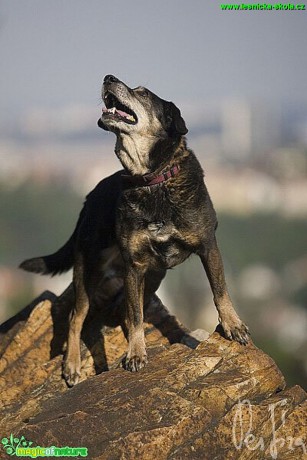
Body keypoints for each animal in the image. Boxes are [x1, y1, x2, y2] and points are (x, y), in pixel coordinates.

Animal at [19, 74, 250, 384]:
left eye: (143, 93)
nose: (108, 77)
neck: (152, 180)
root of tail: (89, 197)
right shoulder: (134, 266)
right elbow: (137, 316)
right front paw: (136, 354)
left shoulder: (207, 246)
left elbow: (219, 289)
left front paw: (232, 325)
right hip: (89, 271)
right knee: (77, 316)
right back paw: (73, 364)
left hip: (153, 277)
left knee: (123, 310)